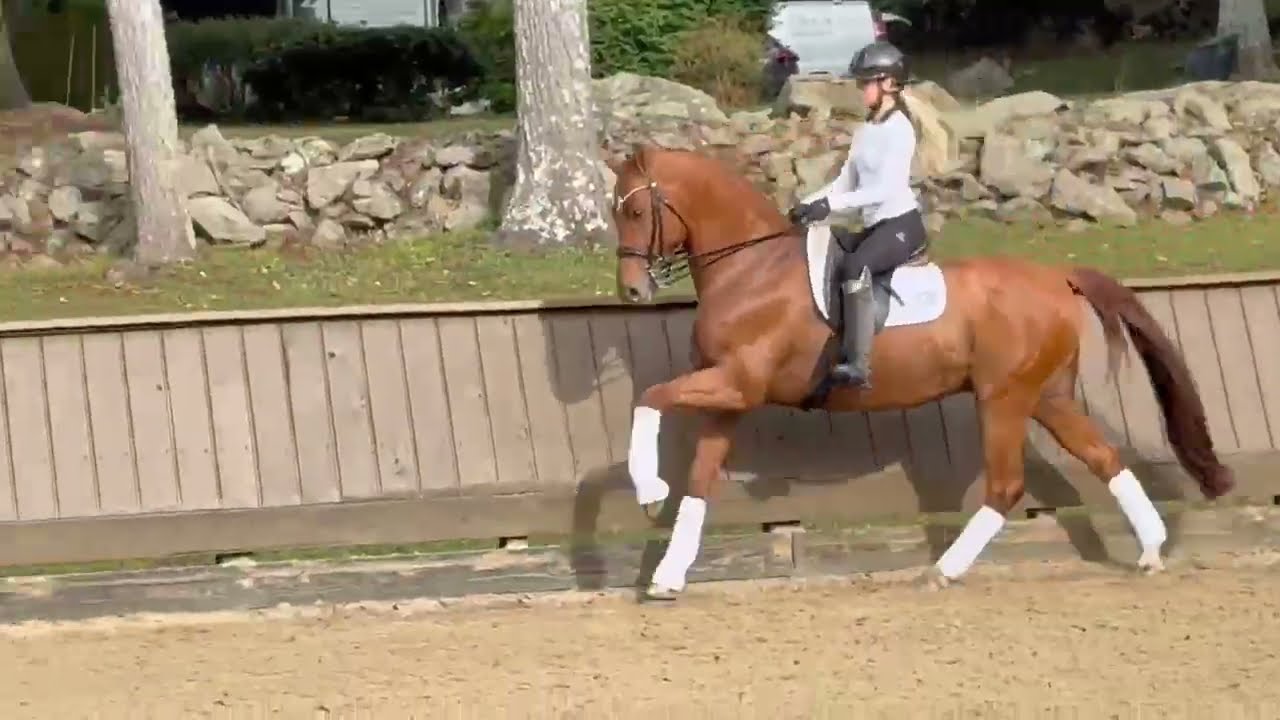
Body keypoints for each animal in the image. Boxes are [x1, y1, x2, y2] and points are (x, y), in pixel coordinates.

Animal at [605, 142, 1234, 601]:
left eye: (635, 211)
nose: (632, 291)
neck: (750, 267)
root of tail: (1056, 275)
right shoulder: (729, 398)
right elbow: (699, 481)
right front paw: (667, 575)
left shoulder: (736, 383)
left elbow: (649, 397)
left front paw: (648, 489)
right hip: (1048, 397)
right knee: (1103, 458)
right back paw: (1151, 551)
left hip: (1002, 398)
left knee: (1006, 485)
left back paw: (944, 570)